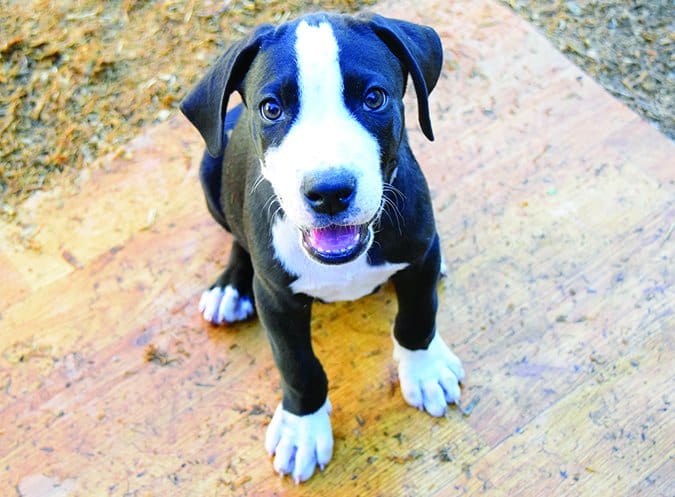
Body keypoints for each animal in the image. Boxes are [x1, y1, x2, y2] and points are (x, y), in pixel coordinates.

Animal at [180, 11, 464, 482]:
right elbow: (297, 365)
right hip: (209, 171)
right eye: (271, 108)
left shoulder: (420, 254)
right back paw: (230, 287)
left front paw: (425, 371)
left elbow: (417, 316)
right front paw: (302, 429)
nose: (329, 192)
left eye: (374, 98)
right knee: (237, 239)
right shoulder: (276, 299)